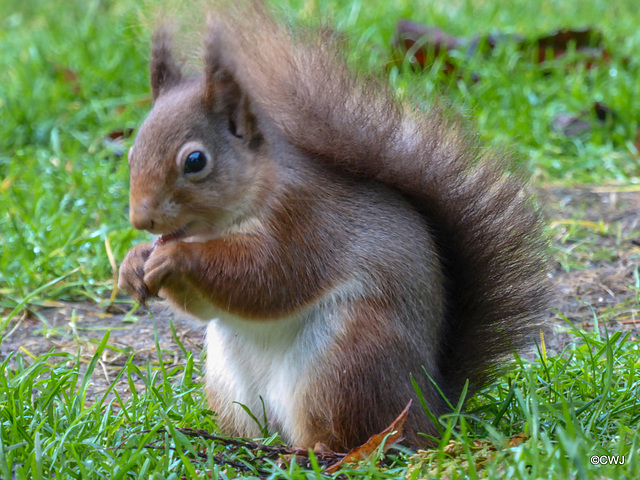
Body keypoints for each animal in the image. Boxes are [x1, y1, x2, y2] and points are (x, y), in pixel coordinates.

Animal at [119, 2, 552, 450]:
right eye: (132, 153)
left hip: (347, 361)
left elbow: (264, 278)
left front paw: (176, 256)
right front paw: (134, 263)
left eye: (195, 161)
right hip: (231, 382)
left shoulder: (302, 221)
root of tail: (434, 409)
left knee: (356, 431)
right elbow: (207, 304)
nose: (141, 219)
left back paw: (322, 451)